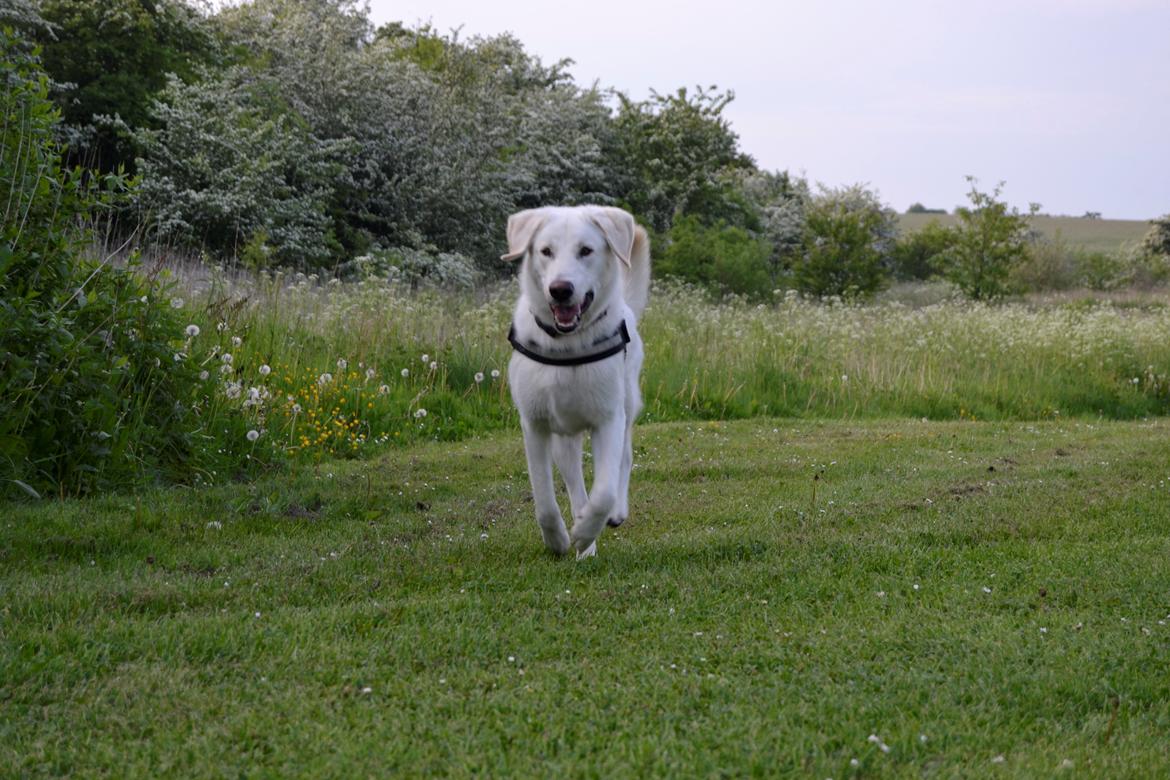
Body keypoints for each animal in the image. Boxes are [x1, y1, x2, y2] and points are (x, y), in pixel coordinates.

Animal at [500, 205, 655, 561]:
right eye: (546, 251)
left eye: (586, 250)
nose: (560, 289)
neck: (568, 347)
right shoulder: (534, 426)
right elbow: (544, 499)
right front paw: (559, 540)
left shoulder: (608, 421)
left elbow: (605, 491)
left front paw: (585, 533)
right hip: (564, 442)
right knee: (575, 485)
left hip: (627, 405)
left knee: (624, 460)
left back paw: (609, 519)